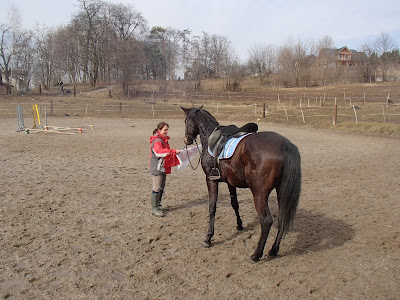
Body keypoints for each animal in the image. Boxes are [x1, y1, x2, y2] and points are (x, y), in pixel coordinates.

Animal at [180, 106, 300, 262]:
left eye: (185, 121)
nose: (186, 139)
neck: (211, 136)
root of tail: (285, 145)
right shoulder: (230, 182)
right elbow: (234, 204)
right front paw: (239, 225)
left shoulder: (211, 180)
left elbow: (212, 208)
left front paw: (208, 237)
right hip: (281, 191)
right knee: (282, 218)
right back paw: (273, 250)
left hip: (259, 193)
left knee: (266, 220)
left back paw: (256, 254)